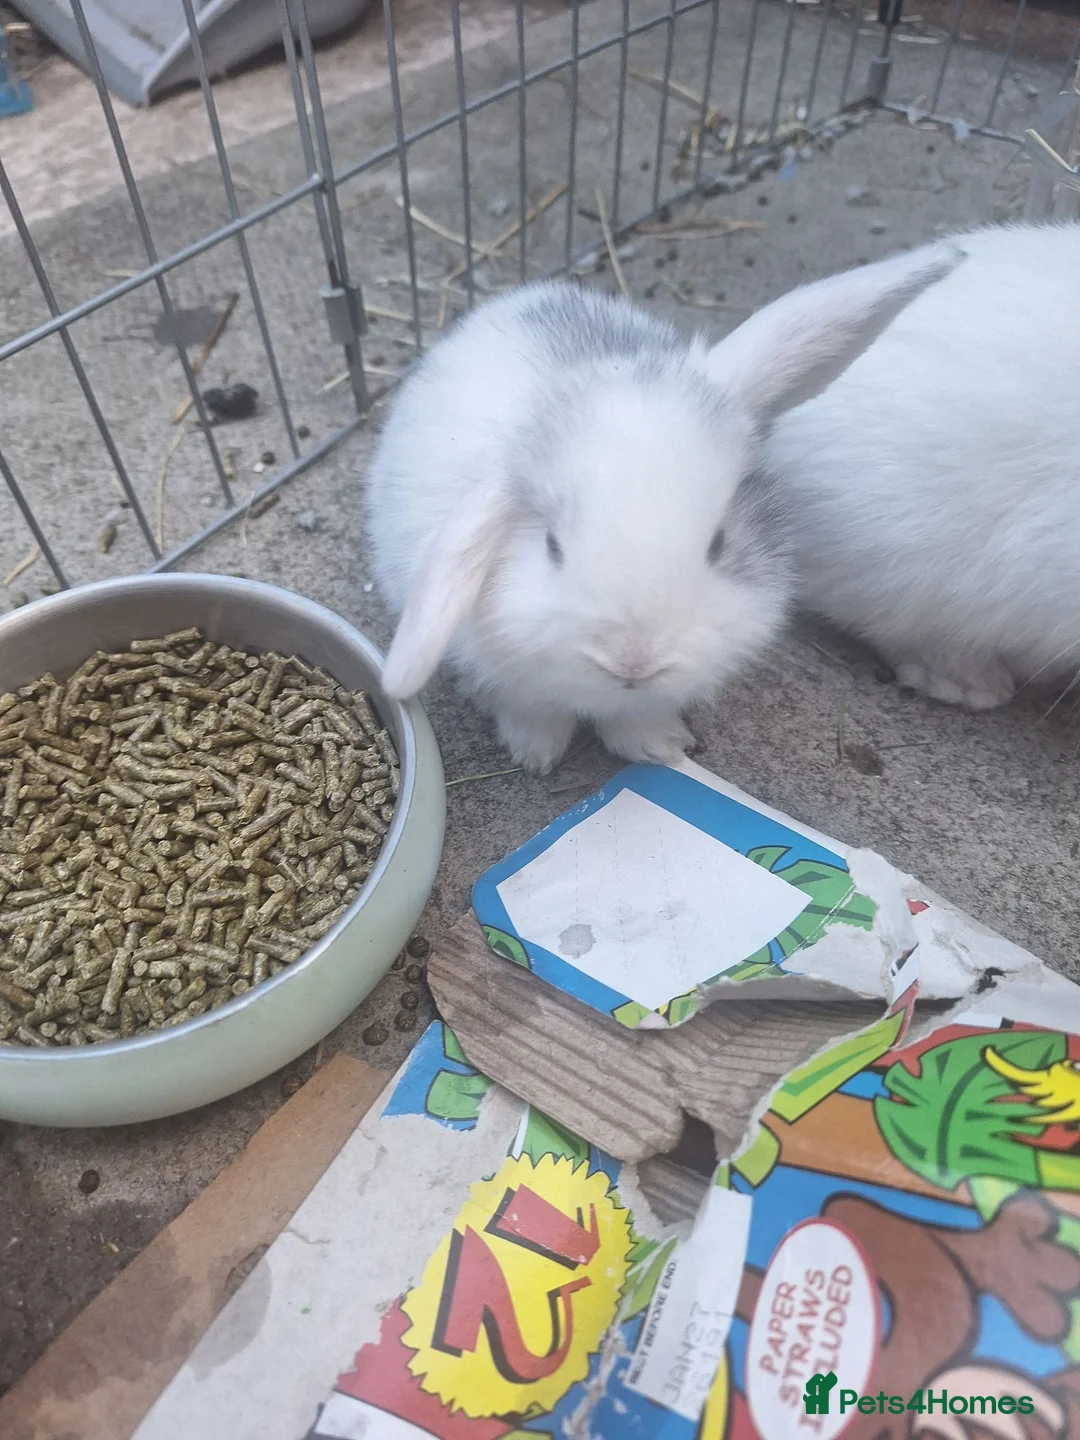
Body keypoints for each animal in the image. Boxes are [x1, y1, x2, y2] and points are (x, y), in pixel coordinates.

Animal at [366, 259, 959, 773]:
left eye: (719, 543)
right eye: (552, 546)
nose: (634, 662)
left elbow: (638, 716)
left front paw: (660, 748)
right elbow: (529, 706)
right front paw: (536, 754)